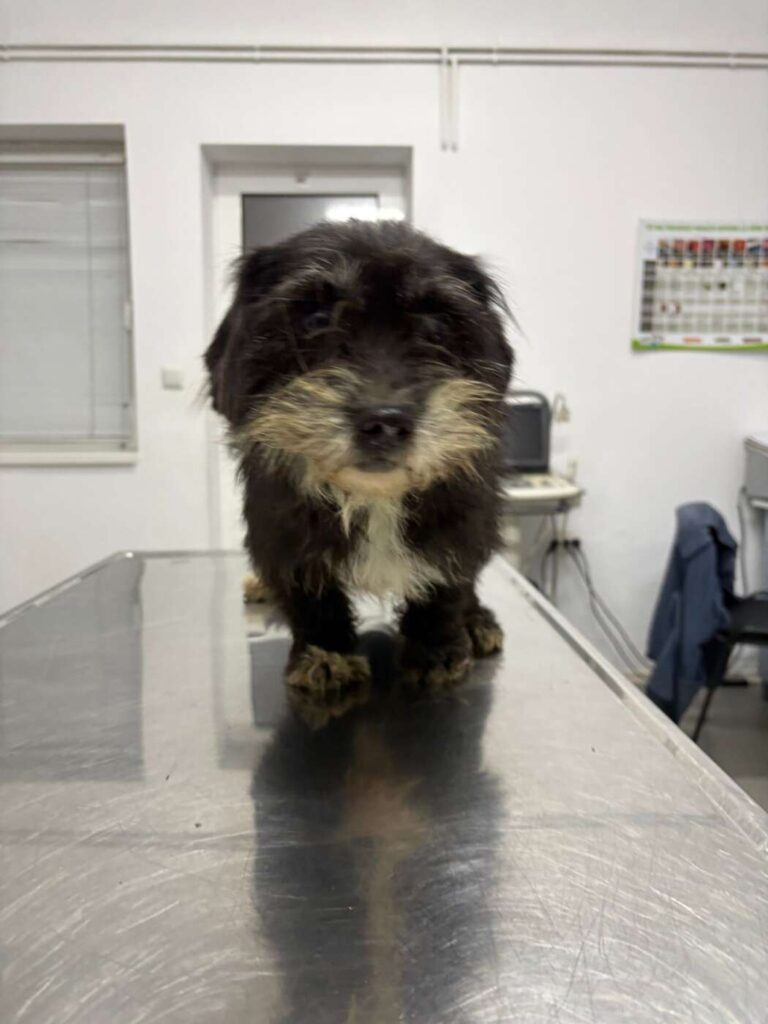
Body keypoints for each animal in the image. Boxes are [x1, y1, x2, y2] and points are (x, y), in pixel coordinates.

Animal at [205, 220, 513, 695]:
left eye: (436, 324)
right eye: (315, 319)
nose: (384, 421)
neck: (374, 498)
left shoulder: (462, 525)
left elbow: (447, 586)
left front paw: (436, 650)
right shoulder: (282, 534)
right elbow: (309, 595)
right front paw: (326, 653)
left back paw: (478, 622)